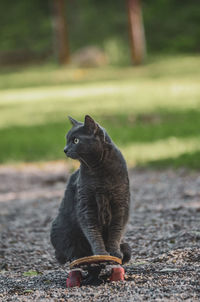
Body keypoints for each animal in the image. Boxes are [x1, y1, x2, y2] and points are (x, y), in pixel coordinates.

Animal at [50, 115, 131, 264]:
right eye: (67, 139)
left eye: (76, 140)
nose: (65, 149)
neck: (99, 170)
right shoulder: (86, 203)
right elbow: (92, 231)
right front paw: (101, 253)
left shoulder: (120, 203)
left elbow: (116, 231)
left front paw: (115, 253)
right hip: (59, 227)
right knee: (66, 251)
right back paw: (77, 257)